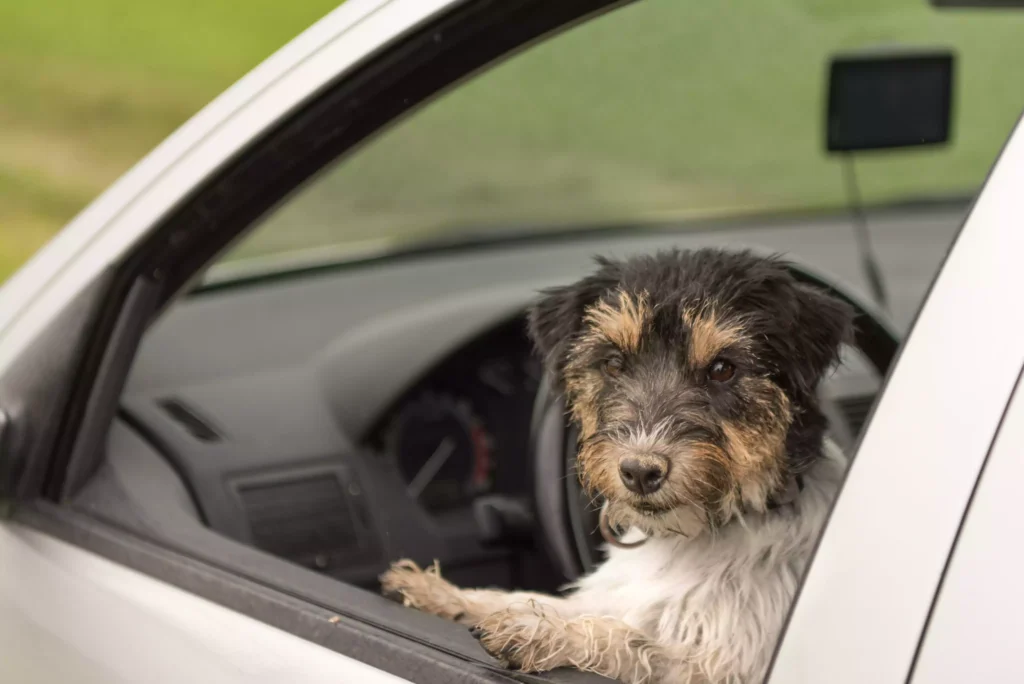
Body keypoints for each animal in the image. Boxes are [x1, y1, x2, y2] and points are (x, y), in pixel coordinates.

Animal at [380, 249, 851, 684]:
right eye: (612, 363)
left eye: (722, 369)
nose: (640, 472)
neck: (691, 537)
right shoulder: (607, 595)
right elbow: (531, 597)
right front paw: (443, 594)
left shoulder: (724, 667)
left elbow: (633, 641)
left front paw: (540, 632)